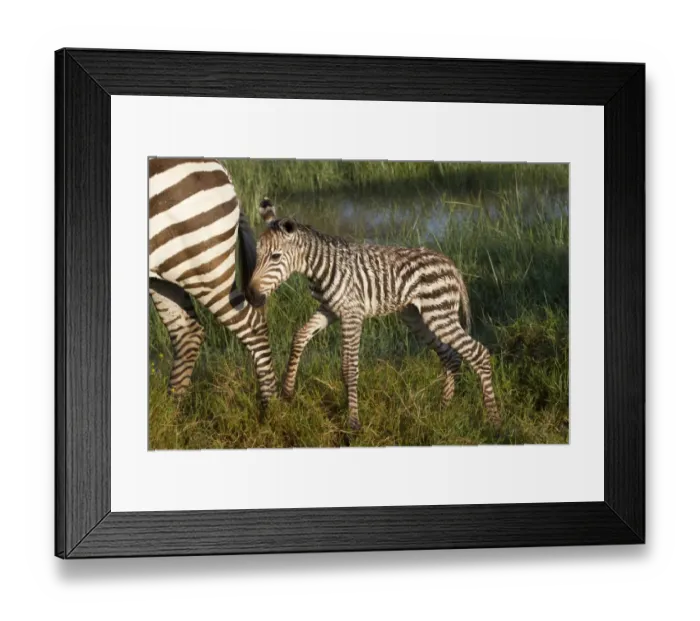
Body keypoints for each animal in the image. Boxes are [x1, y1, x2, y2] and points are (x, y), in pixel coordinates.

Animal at [149, 157, 276, 406]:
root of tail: (221, 167)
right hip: (168, 270)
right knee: (187, 333)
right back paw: (171, 411)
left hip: (203, 267)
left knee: (253, 326)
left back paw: (271, 408)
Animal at [246, 199, 499, 431]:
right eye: (257, 255)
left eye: (276, 256)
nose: (251, 296)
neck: (320, 268)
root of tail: (450, 265)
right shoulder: (329, 309)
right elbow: (299, 336)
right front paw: (287, 390)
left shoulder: (352, 314)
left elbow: (349, 369)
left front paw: (353, 423)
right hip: (418, 318)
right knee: (450, 356)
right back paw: (442, 409)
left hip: (439, 315)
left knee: (478, 353)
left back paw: (493, 420)